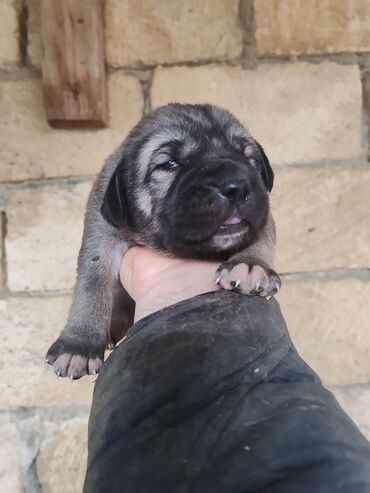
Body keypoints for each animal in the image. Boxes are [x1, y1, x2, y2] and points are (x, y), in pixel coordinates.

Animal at [44, 104, 278, 378]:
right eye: (169, 163)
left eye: (248, 158)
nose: (237, 187)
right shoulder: (101, 232)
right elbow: (93, 283)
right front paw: (79, 342)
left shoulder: (262, 215)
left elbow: (261, 236)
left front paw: (251, 264)